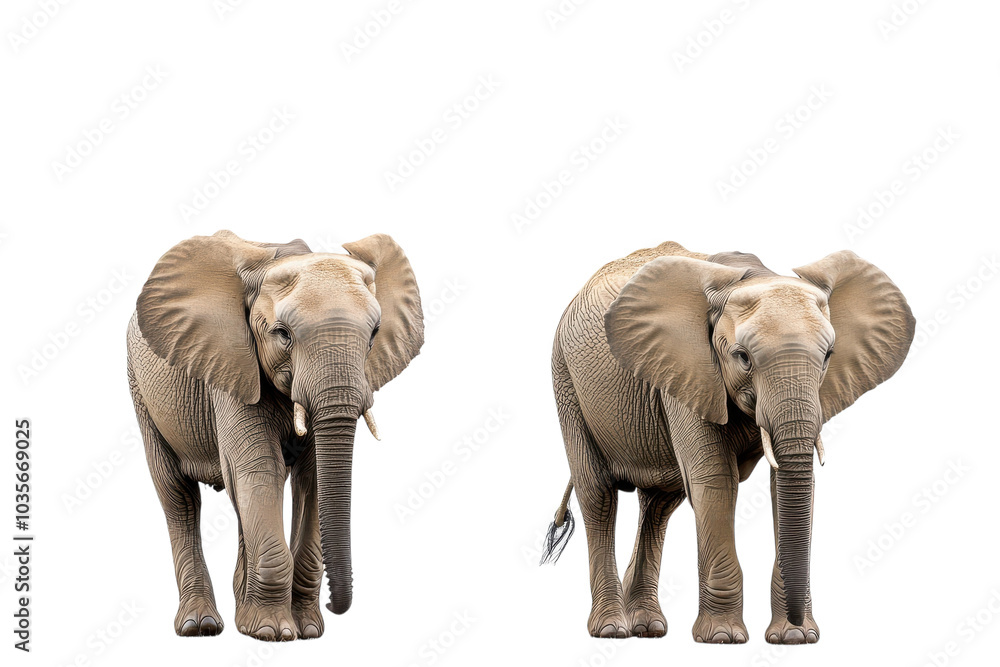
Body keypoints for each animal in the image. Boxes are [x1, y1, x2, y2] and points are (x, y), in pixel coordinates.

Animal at [126, 230, 423, 641]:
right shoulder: (232, 363)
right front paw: (272, 632)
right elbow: (259, 469)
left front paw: (308, 629)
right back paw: (199, 625)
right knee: (178, 497)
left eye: (375, 334)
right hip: (141, 390)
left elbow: (310, 479)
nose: (336, 605)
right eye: (282, 334)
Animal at [540, 241, 914, 644]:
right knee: (598, 495)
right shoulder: (689, 370)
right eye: (742, 357)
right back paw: (612, 629)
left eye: (829, 355)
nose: (798, 626)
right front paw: (723, 637)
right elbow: (716, 481)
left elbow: (783, 485)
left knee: (658, 504)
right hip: (566, 380)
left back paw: (647, 628)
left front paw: (793, 638)